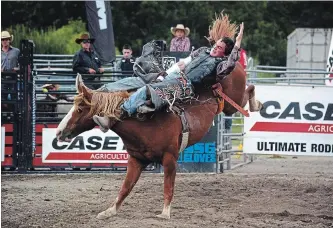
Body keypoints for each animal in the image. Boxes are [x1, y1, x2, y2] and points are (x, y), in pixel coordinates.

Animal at [55, 62, 260, 219]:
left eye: (80, 109)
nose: (58, 132)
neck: (143, 124)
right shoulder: (136, 160)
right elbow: (125, 187)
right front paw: (109, 211)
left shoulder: (169, 158)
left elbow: (168, 186)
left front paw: (165, 213)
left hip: (234, 100)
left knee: (248, 90)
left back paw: (257, 103)